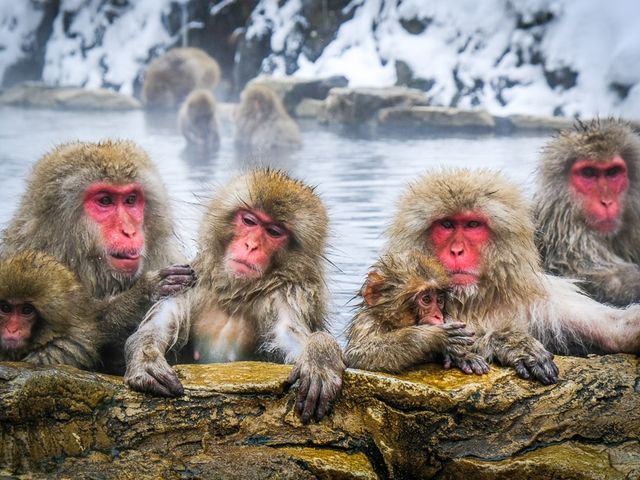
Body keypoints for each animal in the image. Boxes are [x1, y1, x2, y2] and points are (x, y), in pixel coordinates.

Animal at [125, 169, 344, 423]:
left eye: (274, 232)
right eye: (249, 221)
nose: (250, 246)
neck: (234, 294)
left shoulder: (284, 297)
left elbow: (289, 336)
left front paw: (320, 356)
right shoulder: (190, 280)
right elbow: (158, 326)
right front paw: (146, 359)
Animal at [345, 250, 490, 375]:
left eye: (439, 300)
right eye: (426, 299)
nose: (438, 316)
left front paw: (464, 355)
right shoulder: (368, 322)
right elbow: (357, 354)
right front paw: (434, 336)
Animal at [387, 168, 640, 384]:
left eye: (472, 224)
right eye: (447, 224)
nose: (456, 251)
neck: (475, 301)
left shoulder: (547, 301)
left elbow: (615, 331)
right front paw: (512, 343)